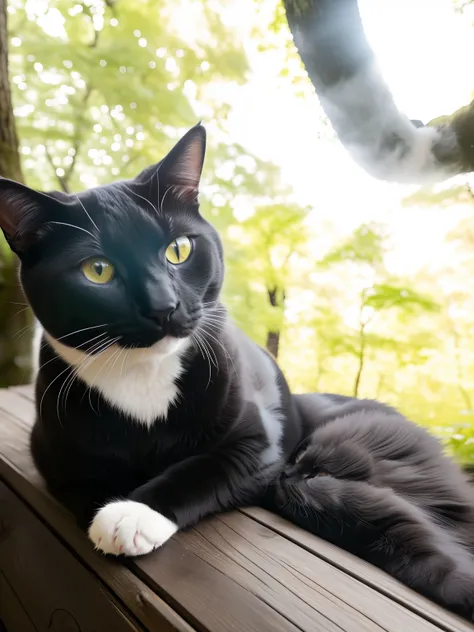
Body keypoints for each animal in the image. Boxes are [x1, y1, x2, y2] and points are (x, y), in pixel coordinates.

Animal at [0, 126, 474, 620]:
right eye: (97, 270)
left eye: (179, 249)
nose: (164, 306)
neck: (144, 375)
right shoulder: (52, 445)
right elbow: (85, 476)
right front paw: (115, 498)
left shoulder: (257, 440)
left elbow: (203, 468)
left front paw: (131, 513)